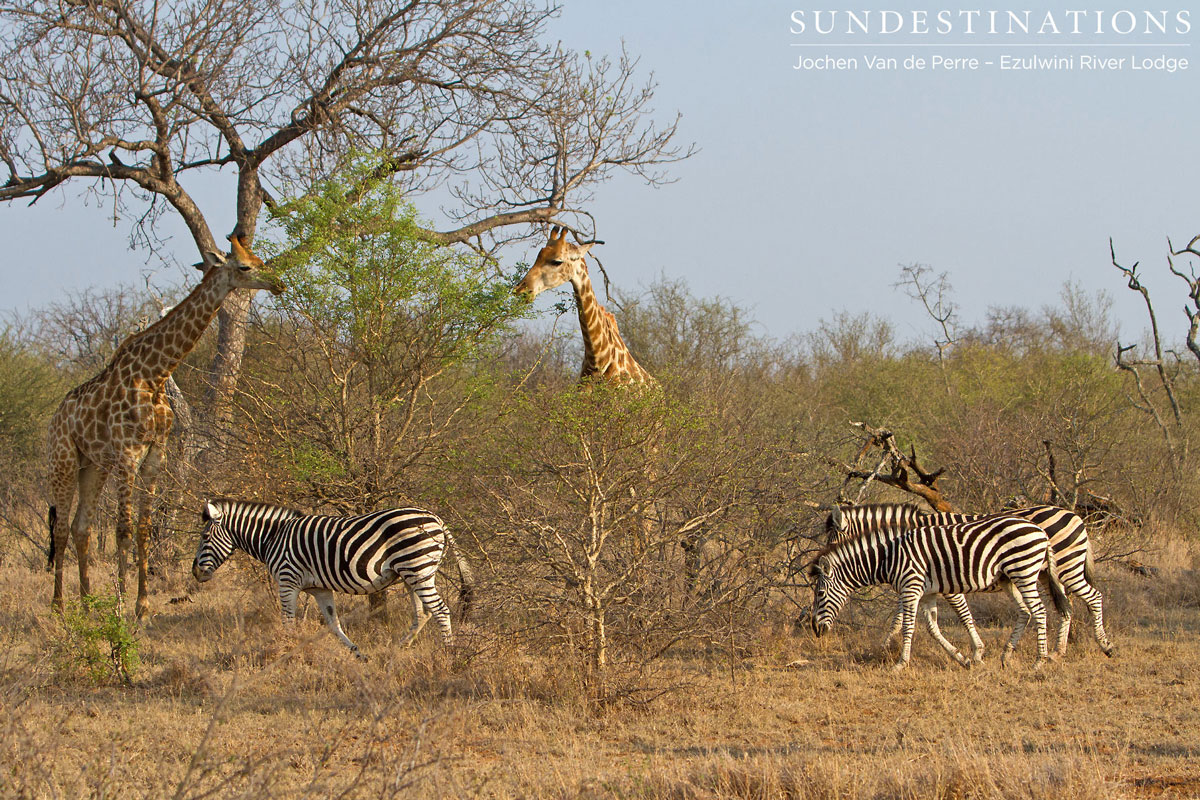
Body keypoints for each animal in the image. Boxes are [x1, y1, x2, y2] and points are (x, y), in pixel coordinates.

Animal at [46, 235, 285, 618]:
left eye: (260, 259)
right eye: (245, 266)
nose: (278, 283)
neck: (154, 375)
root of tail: (55, 416)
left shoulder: (155, 455)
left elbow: (144, 529)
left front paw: (141, 606)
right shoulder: (127, 455)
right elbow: (124, 530)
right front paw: (119, 606)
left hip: (93, 466)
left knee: (81, 527)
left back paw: (86, 605)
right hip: (64, 461)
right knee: (61, 530)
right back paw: (59, 609)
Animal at [192, 498, 472, 659]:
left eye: (204, 537)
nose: (196, 572)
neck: (273, 537)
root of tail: (436, 518)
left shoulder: (287, 580)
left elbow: (288, 621)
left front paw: (287, 653)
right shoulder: (319, 589)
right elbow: (333, 623)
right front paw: (357, 653)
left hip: (417, 568)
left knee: (441, 610)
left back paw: (449, 654)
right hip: (412, 574)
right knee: (423, 613)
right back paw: (399, 648)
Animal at [809, 514, 1062, 670]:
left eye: (820, 595)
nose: (815, 630)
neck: (888, 557)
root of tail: (1041, 531)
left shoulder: (911, 588)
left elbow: (909, 626)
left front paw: (900, 664)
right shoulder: (928, 592)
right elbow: (933, 628)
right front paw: (963, 659)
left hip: (1024, 571)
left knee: (1039, 611)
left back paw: (1039, 660)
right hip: (1008, 578)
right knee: (1025, 612)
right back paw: (1006, 656)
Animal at [826, 503, 1114, 659]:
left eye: (831, 541)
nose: (820, 564)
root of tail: (1075, 515)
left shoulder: (939, 578)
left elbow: (961, 615)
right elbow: (901, 617)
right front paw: (887, 647)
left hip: (1066, 567)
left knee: (1093, 597)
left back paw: (1104, 645)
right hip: (1047, 574)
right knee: (1067, 605)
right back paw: (1056, 652)